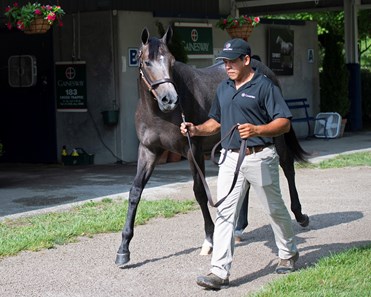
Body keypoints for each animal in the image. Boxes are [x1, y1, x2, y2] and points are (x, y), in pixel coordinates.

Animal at [115, 26, 310, 266]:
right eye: (146, 62)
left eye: (171, 61)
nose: (170, 99)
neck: (159, 114)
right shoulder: (148, 151)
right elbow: (135, 191)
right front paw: (123, 248)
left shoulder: (193, 151)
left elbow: (199, 192)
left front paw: (210, 238)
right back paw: (239, 227)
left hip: (275, 136)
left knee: (288, 167)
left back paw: (300, 215)